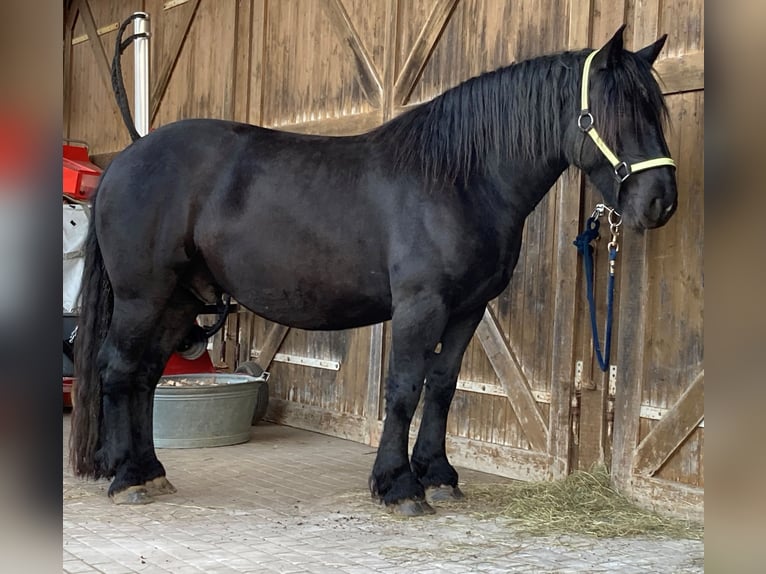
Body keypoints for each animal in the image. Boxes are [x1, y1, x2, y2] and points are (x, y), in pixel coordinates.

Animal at [67, 27, 680, 516]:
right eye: (616, 114)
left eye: (656, 110)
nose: (661, 202)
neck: (456, 179)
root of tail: (124, 162)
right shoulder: (420, 305)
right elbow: (404, 387)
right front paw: (398, 486)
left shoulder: (468, 308)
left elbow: (441, 386)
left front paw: (438, 476)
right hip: (144, 296)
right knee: (119, 369)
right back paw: (128, 478)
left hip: (181, 300)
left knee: (146, 376)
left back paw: (148, 471)